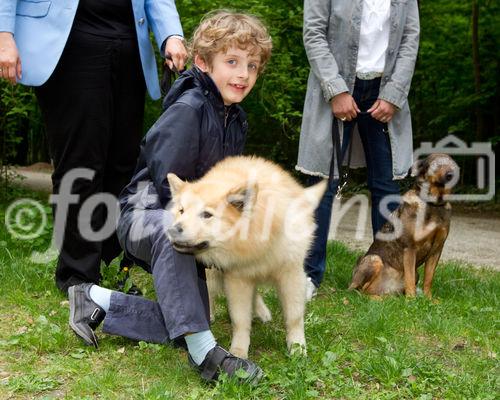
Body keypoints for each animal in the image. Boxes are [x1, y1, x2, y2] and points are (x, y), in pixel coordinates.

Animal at [166, 155, 326, 358]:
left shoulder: (291, 273)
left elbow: (294, 317)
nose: (172, 229)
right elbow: (240, 320)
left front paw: (297, 347)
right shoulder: (237, 279)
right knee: (210, 291)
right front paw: (239, 351)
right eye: (181, 211)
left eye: (207, 215)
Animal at [350, 153, 458, 296]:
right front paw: (412, 299)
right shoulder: (410, 248)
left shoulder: (437, 250)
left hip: (411, 276)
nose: (451, 174)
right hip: (374, 260)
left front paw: (428, 298)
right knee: (360, 292)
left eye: (453, 164)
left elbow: (428, 279)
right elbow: (410, 280)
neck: (433, 204)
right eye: (435, 164)